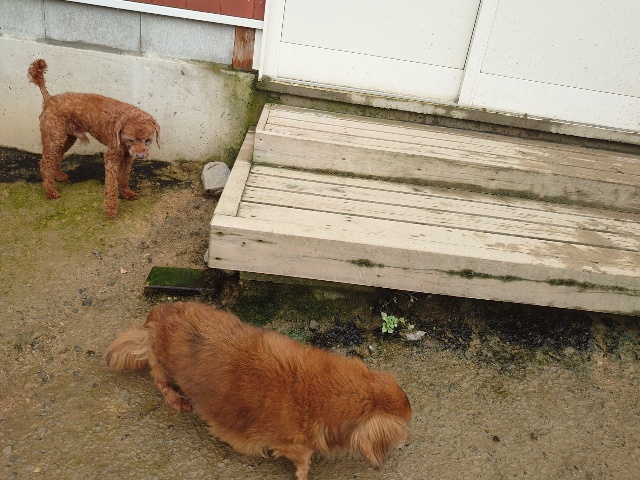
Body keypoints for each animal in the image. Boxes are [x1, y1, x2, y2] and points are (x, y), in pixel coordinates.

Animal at [28, 59, 160, 218]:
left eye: (148, 140)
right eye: (131, 140)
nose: (140, 156)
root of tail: (49, 99)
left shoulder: (127, 157)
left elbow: (123, 177)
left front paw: (126, 193)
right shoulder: (111, 156)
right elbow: (111, 183)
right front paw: (110, 208)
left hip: (66, 138)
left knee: (56, 157)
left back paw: (59, 176)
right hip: (55, 137)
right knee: (45, 163)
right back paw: (51, 191)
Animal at [105, 302, 411, 480]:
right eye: (404, 427)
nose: (408, 443)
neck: (319, 393)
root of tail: (156, 316)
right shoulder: (290, 444)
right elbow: (303, 460)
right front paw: (304, 473)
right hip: (163, 367)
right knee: (159, 378)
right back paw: (176, 400)